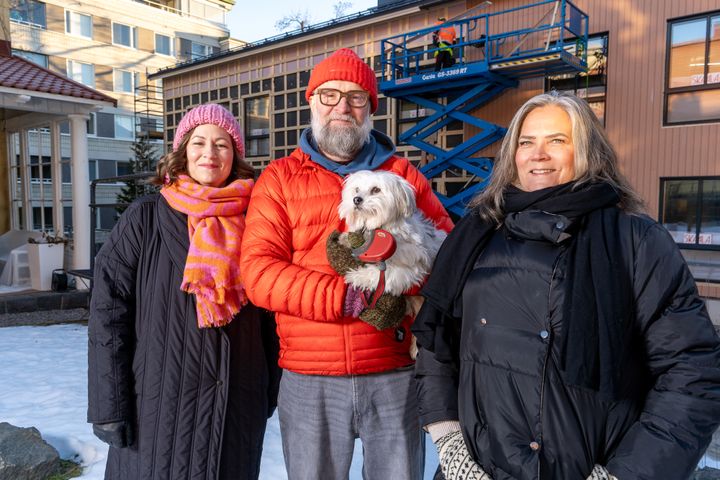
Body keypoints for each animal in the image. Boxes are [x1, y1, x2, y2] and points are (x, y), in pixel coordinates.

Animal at [336, 168, 444, 296]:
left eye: (376, 189)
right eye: (356, 189)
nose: (356, 199)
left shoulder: (414, 261)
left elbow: (387, 274)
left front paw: (357, 276)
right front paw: (346, 239)